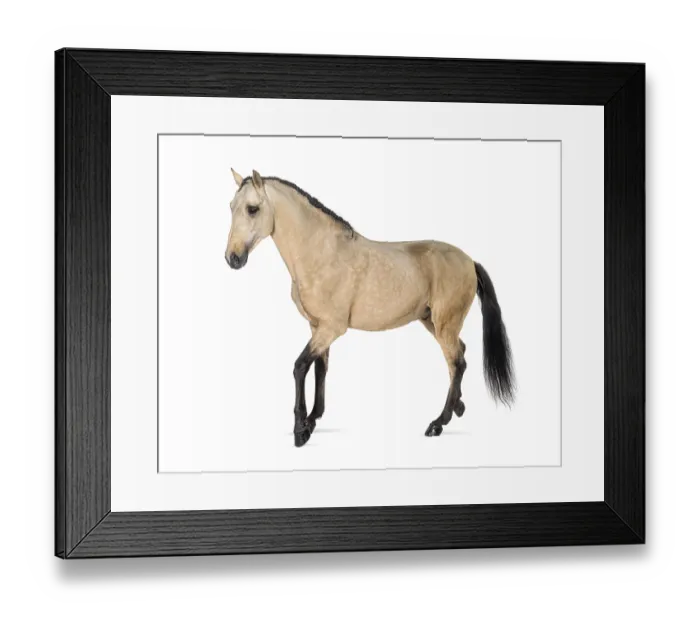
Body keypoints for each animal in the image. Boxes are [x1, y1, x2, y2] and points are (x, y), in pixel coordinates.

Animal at [225, 168, 515, 448]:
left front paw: (300, 431)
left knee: (456, 362)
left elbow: (300, 367)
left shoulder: (331, 328)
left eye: (252, 209)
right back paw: (458, 407)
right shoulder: (317, 327)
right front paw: (313, 420)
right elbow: (320, 369)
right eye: (231, 207)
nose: (233, 258)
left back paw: (438, 423)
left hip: (445, 325)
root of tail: (469, 261)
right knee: (460, 356)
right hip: (433, 322)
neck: (322, 255)